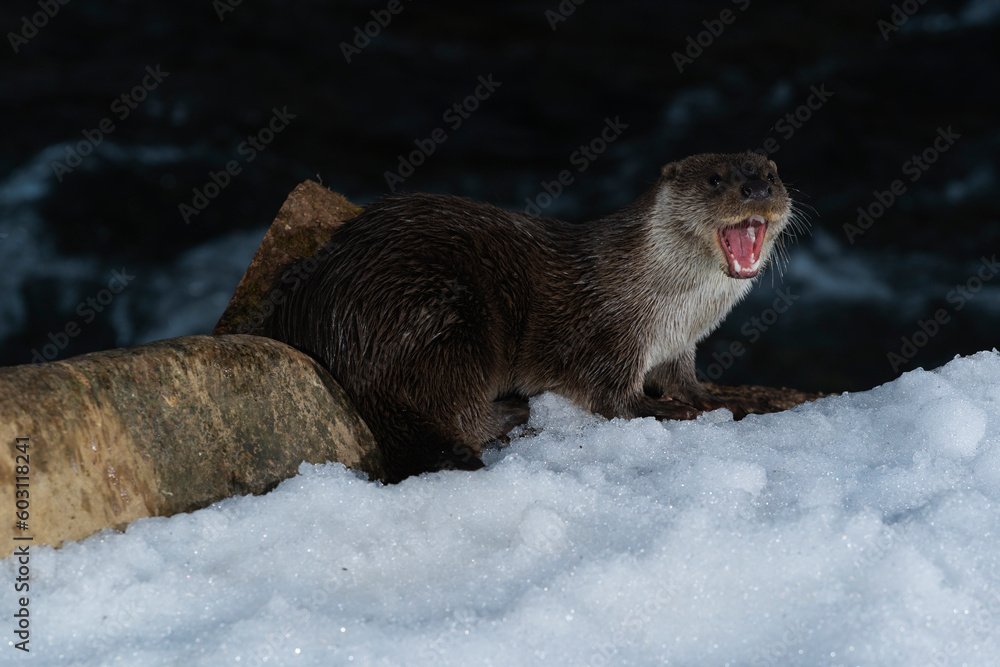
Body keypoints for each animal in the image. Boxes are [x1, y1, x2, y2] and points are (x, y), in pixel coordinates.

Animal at [263, 152, 797, 482]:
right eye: (715, 179)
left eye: (771, 175)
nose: (756, 188)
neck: (669, 305)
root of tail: (340, 336)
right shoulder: (609, 333)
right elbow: (611, 399)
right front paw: (666, 410)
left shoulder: (679, 344)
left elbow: (681, 377)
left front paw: (711, 398)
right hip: (449, 318)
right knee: (455, 411)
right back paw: (513, 412)